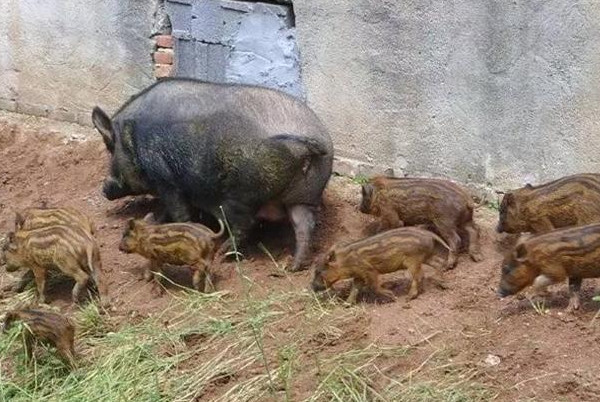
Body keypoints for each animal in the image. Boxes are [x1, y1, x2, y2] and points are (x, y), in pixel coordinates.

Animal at [91, 78, 332, 270]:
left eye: (110, 147)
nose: (104, 189)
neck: (133, 138)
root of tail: (307, 140)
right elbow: (164, 209)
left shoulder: (166, 179)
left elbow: (178, 211)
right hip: (306, 194)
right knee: (304, 226)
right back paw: (293, 267)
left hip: (243, 192)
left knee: (246, 224)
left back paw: (223, 254)